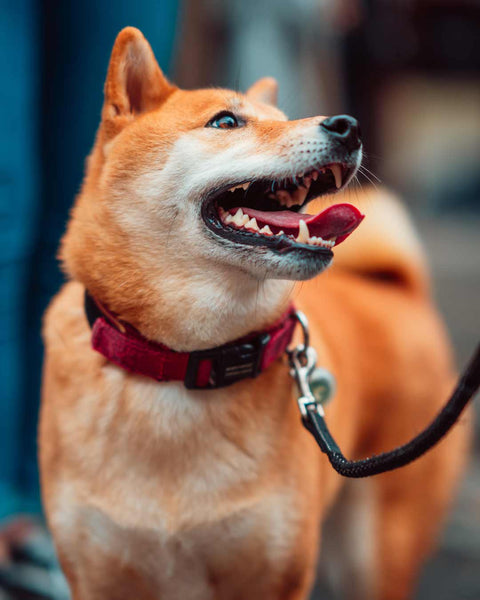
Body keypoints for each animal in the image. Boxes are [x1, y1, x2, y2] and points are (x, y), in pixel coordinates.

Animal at [39, 27, 470, 600]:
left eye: (282, 115)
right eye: (226, 121)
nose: (348, 125)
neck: (183, 363)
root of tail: (399, 289)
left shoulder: (275, 574)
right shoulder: (96, 575)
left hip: (377, 551)